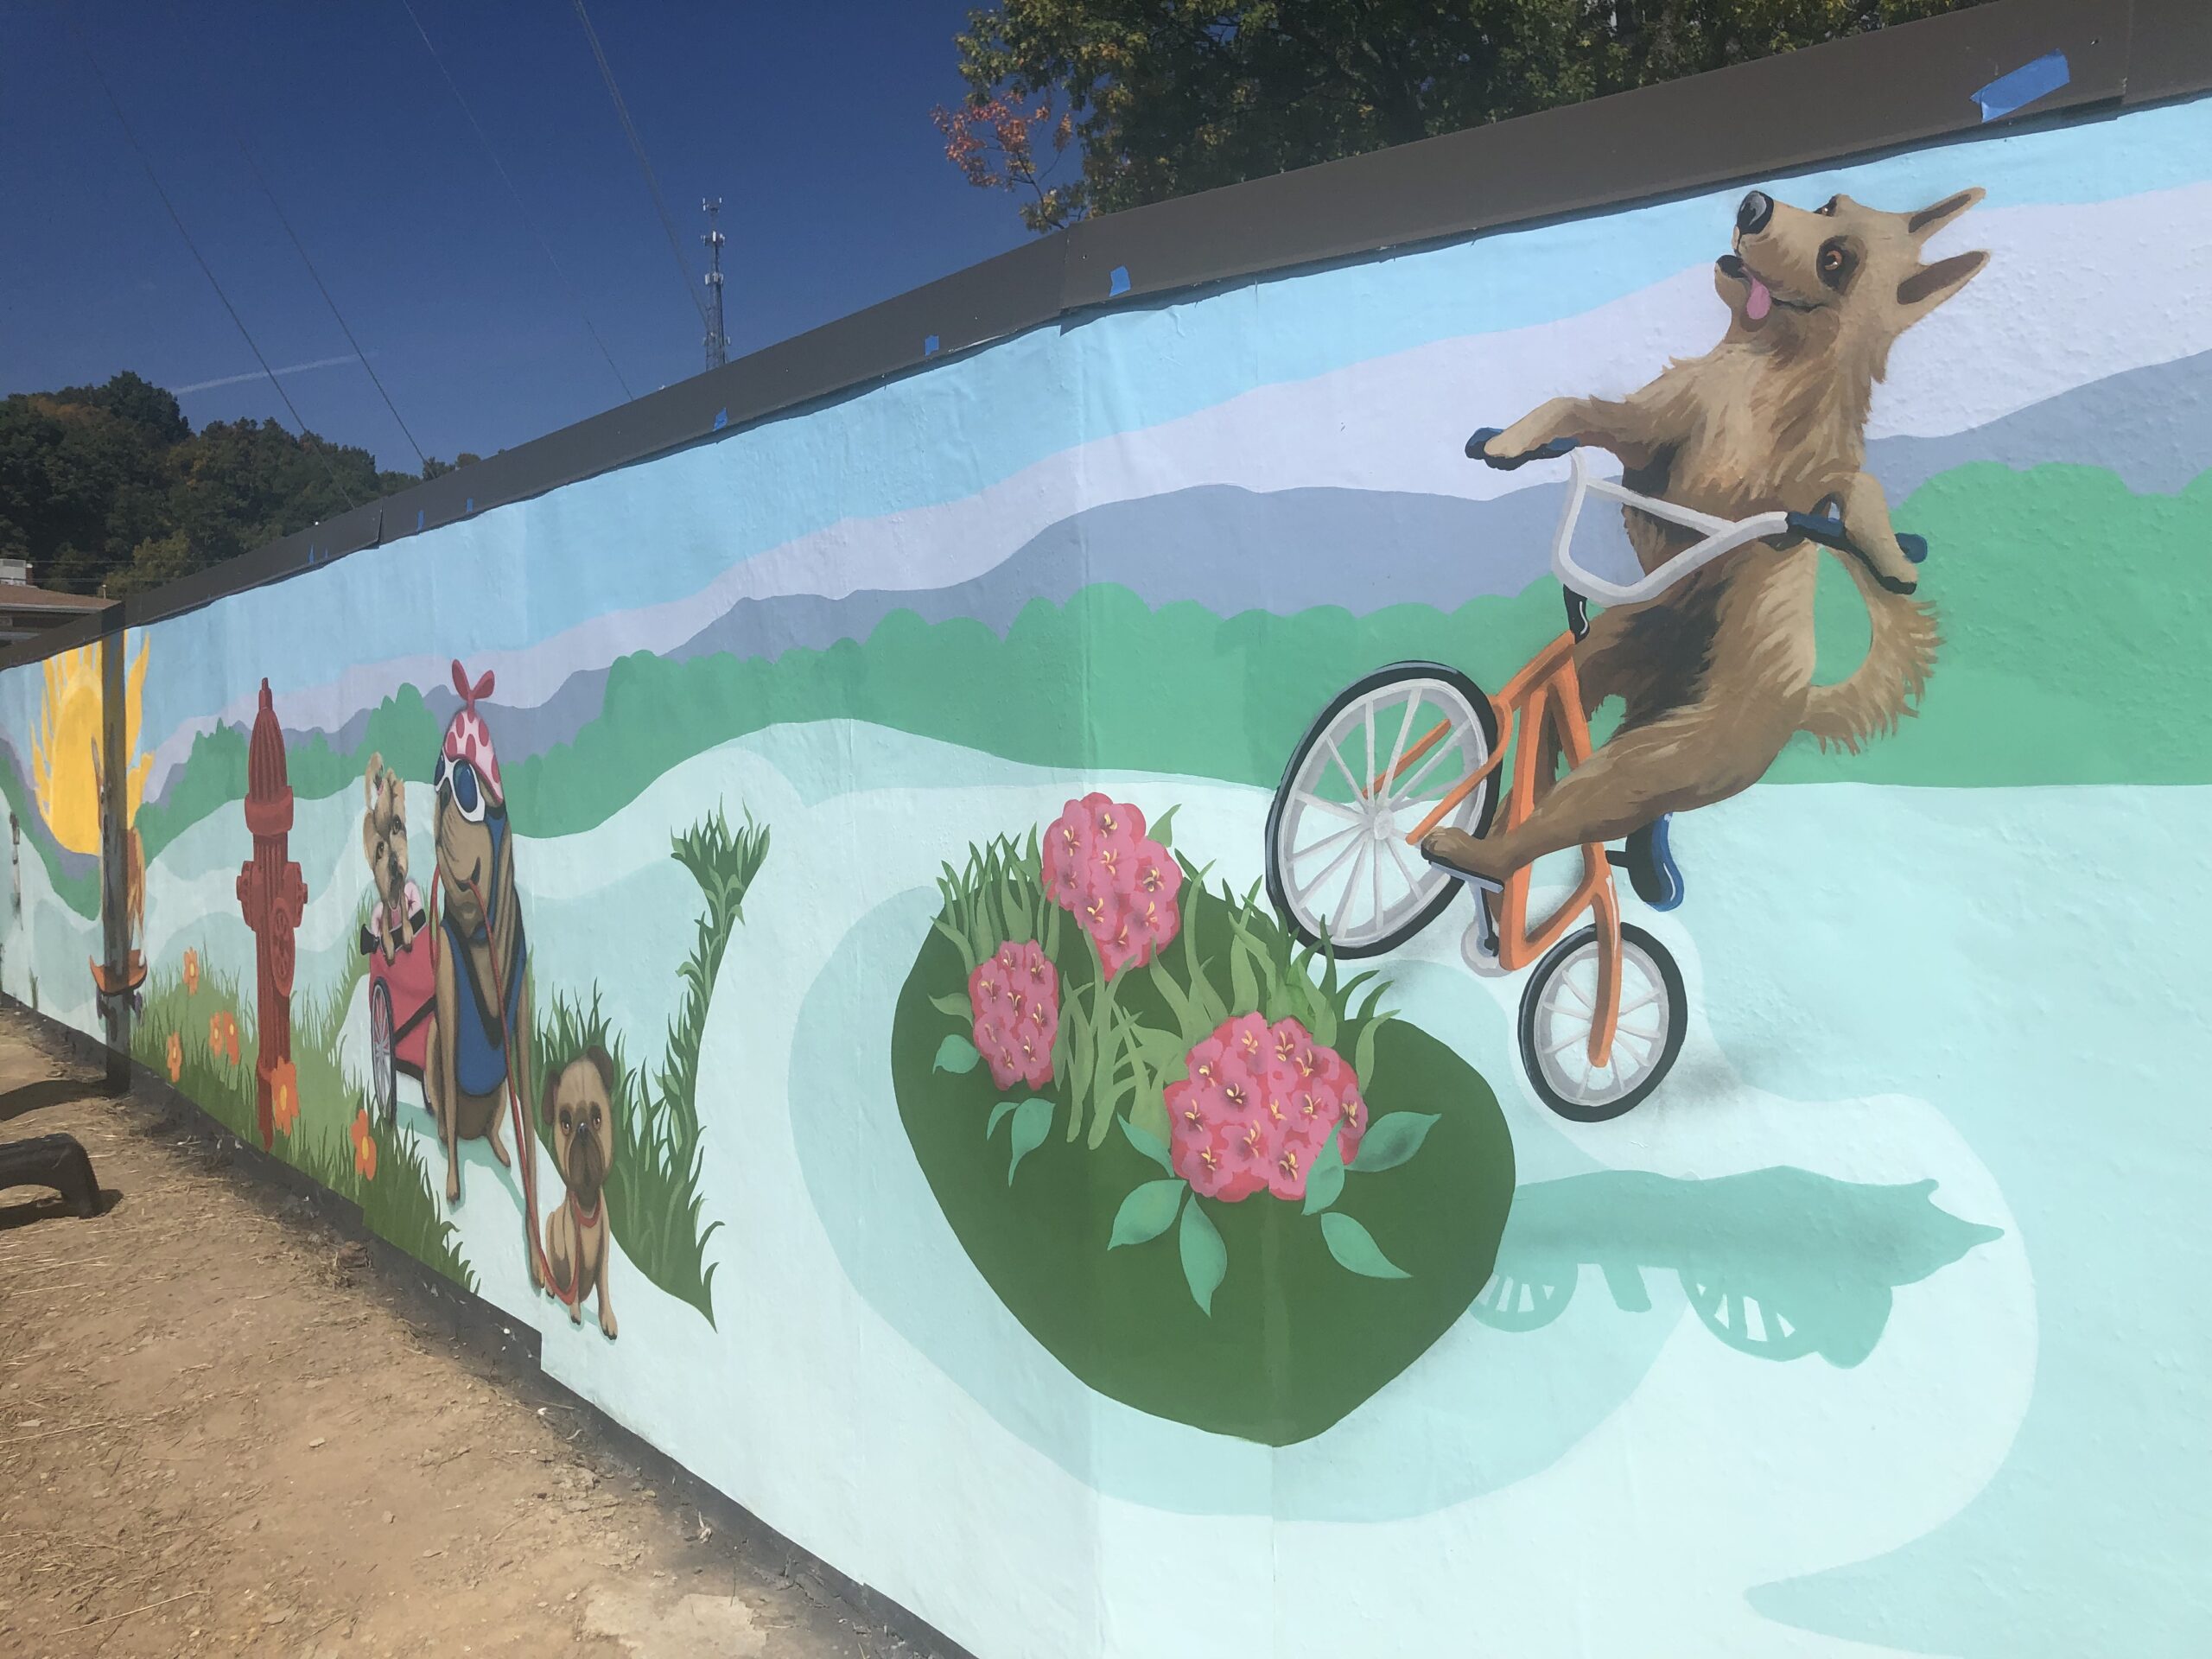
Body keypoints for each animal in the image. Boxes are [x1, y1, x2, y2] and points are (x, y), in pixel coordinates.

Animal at [361, 752, 419, 960]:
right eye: (379, 849)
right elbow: (385, 916)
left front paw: (407, 932)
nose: (393, 863)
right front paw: (388, 943)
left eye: (396, 824)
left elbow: (404, 905)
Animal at [540, 1047, 618, 1339]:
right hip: (550, 1222)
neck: (586, 1201)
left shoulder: (604, 1251)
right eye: (565, 1123)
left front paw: (607, 1319)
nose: (582, 1129)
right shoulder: (570, 1243)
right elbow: (572, 1283)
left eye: (597, 1118)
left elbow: (604, 1287)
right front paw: (574, 1312)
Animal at [1423, 186, 1988, 892]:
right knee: (1553, 751)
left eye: (1836, 261)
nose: (1754, 205)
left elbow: (1860, 486)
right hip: (1606, 664)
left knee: (1573, 811)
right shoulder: (1649, 439)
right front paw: (1509, 440)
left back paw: (1487, 858)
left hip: (1660, 760)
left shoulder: (1808, 488)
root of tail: (1801, 704)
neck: (1761, 367)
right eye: (1828, 204)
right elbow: (1573, 404)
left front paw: (1889, 554)